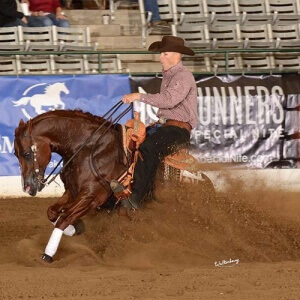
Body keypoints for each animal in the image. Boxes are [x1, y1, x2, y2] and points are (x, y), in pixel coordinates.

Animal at [14, 109, 126, 262]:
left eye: (26, 154)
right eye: (15, 154)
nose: (27, 187)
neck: (89, 149)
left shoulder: (91, 197)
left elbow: (64, 218)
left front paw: (48, 254)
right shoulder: (72, 191)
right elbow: (52, 212)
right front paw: (76, 228)